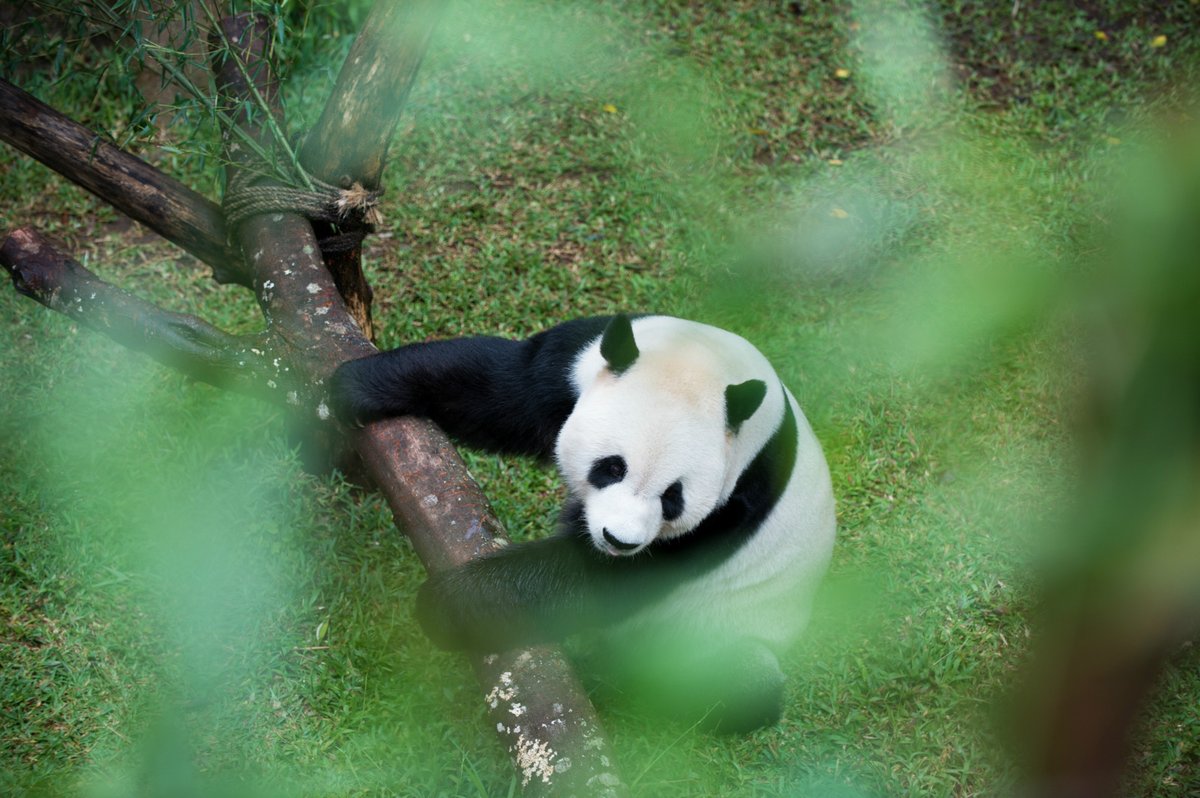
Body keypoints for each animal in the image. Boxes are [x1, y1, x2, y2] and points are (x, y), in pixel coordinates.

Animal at [328, 314, 835, 729]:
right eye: (611, 467)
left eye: (674, 497)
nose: (619, 540)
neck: (706, 363)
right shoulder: (574, 362)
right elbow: (501, 389)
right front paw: (354, 388)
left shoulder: (734, 503)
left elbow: (602, 580)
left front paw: (445, 606)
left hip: (722, 630)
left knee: (734, 683)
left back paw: (607, 679)